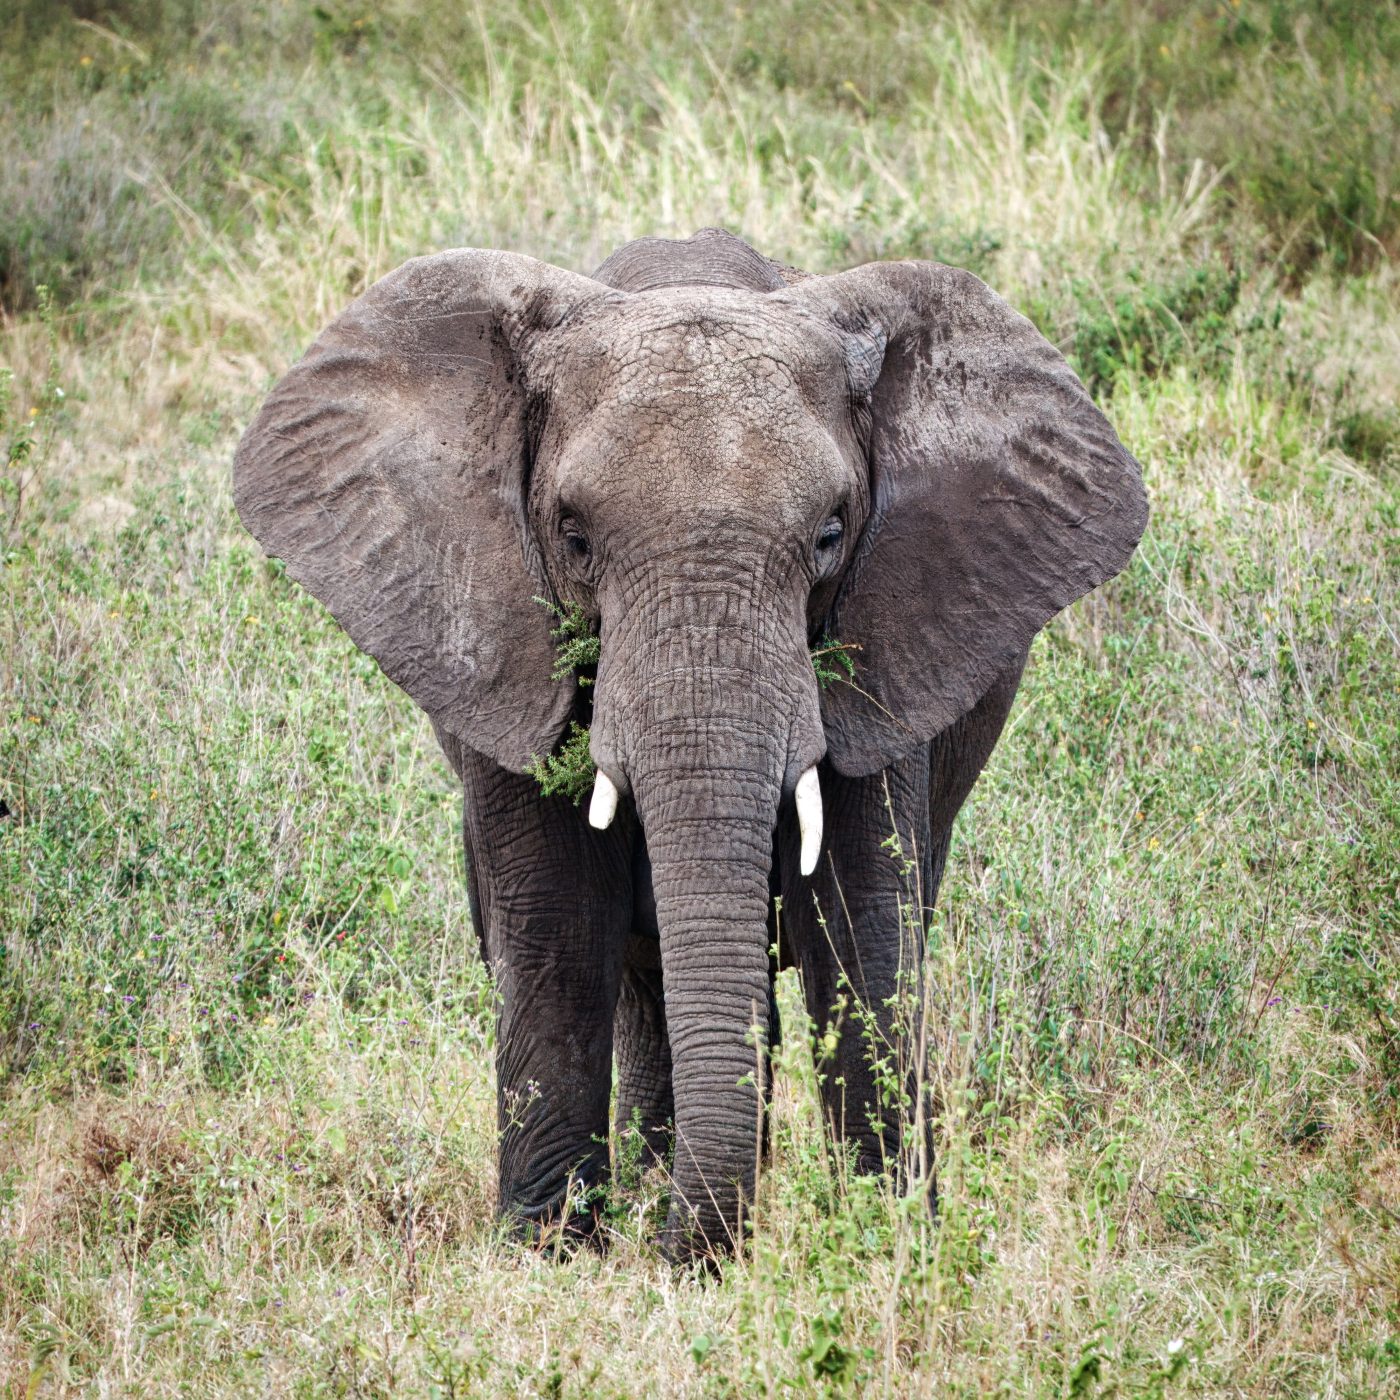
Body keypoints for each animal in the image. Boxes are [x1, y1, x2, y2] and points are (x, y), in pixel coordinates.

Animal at [233, 228, 1147, 1261]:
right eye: (573, 536)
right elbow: (555, 936)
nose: (681, 1254)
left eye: (831, 533)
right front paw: (552, 1257)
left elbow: (863, 936)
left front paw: (893, 1246)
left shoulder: (884, 654)